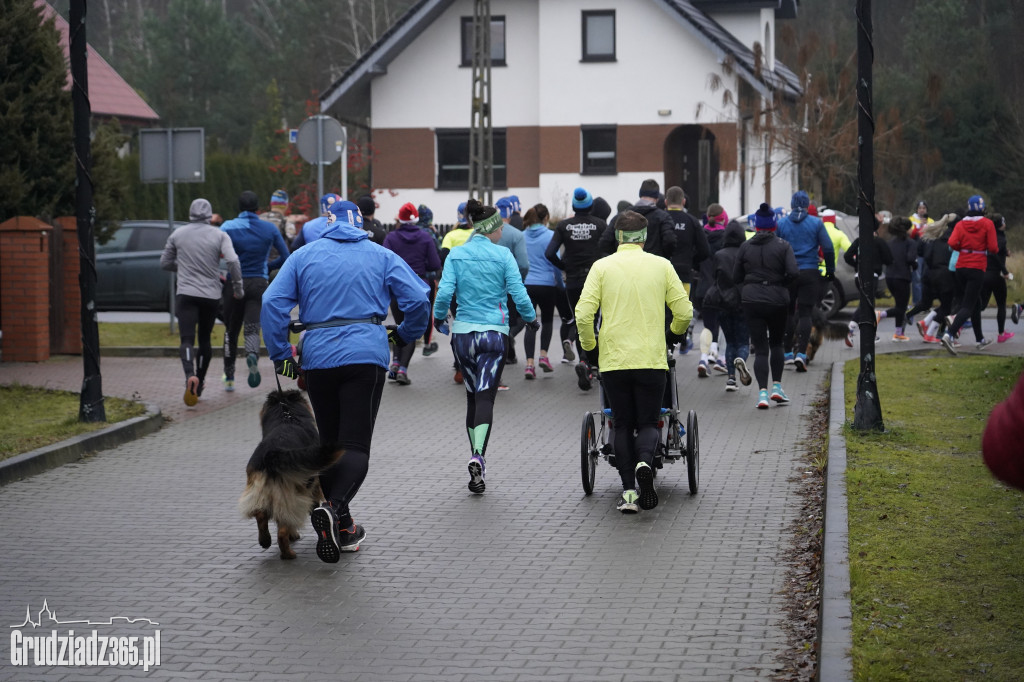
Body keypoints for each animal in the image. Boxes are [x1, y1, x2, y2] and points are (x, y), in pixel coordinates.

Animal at [237, 387, 337, 557]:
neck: (287, 416)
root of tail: (272, 454)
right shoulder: (314, 484)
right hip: (292, 495)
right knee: (282, 529)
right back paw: (288, 554)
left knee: (261, 515)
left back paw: (265, 540)